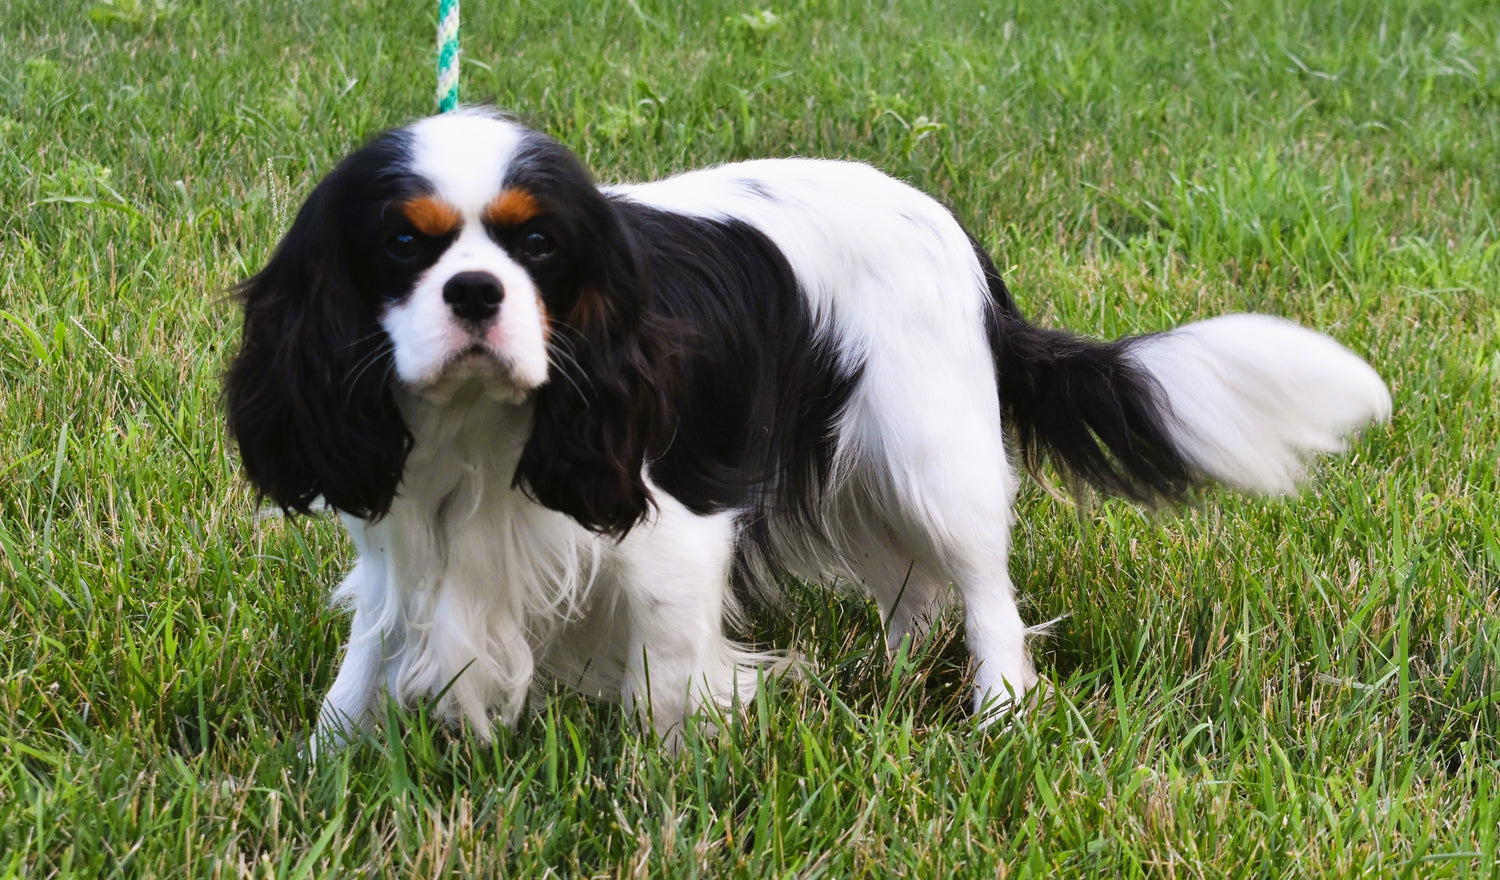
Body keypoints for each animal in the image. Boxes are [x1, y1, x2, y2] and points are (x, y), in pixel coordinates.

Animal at [225, 106, 1392, 746]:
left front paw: (664, 793)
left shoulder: (674, 529)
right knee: (915, 591)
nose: (474, 292)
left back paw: (999, 708)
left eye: (539, 245)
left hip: (930, 454)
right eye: (402, 244)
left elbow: (666, 684)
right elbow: (360, 672)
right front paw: (325, 768)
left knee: (984, 591)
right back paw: (894, 671)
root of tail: (966, 247)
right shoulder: (404, 548)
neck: (483, 429)